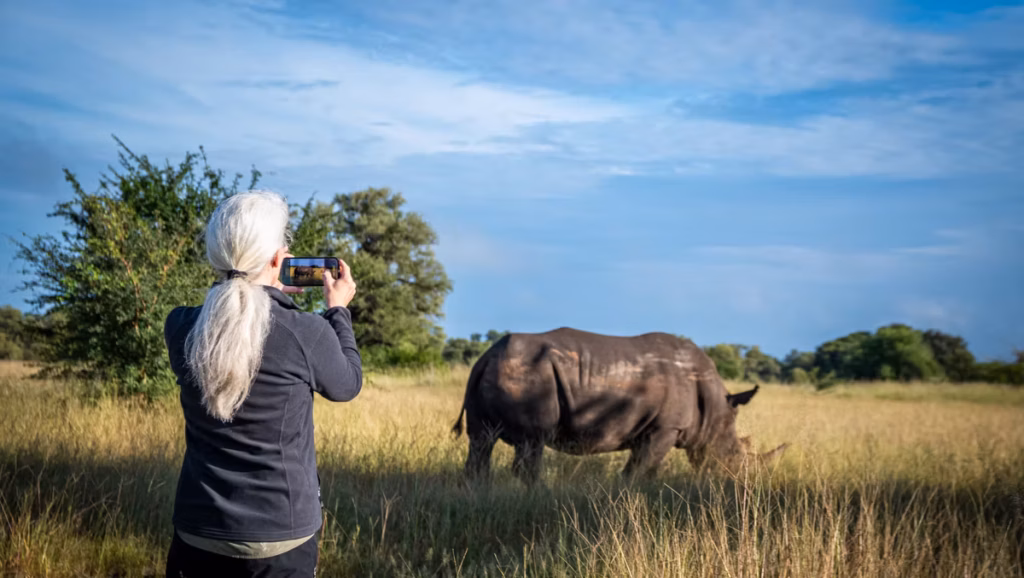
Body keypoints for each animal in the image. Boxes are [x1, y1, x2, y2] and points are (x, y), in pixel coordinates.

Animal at [451, 328, 788, 485]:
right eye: (734, 455)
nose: (738, 482)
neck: (716, 407)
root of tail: (485, 357)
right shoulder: (665, 427)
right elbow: (640, 469)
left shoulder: (649, 428)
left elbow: (644, 468)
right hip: (528, 375)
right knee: (531, 444)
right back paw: (542, 494)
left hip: (500, 370)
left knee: (480, 444)